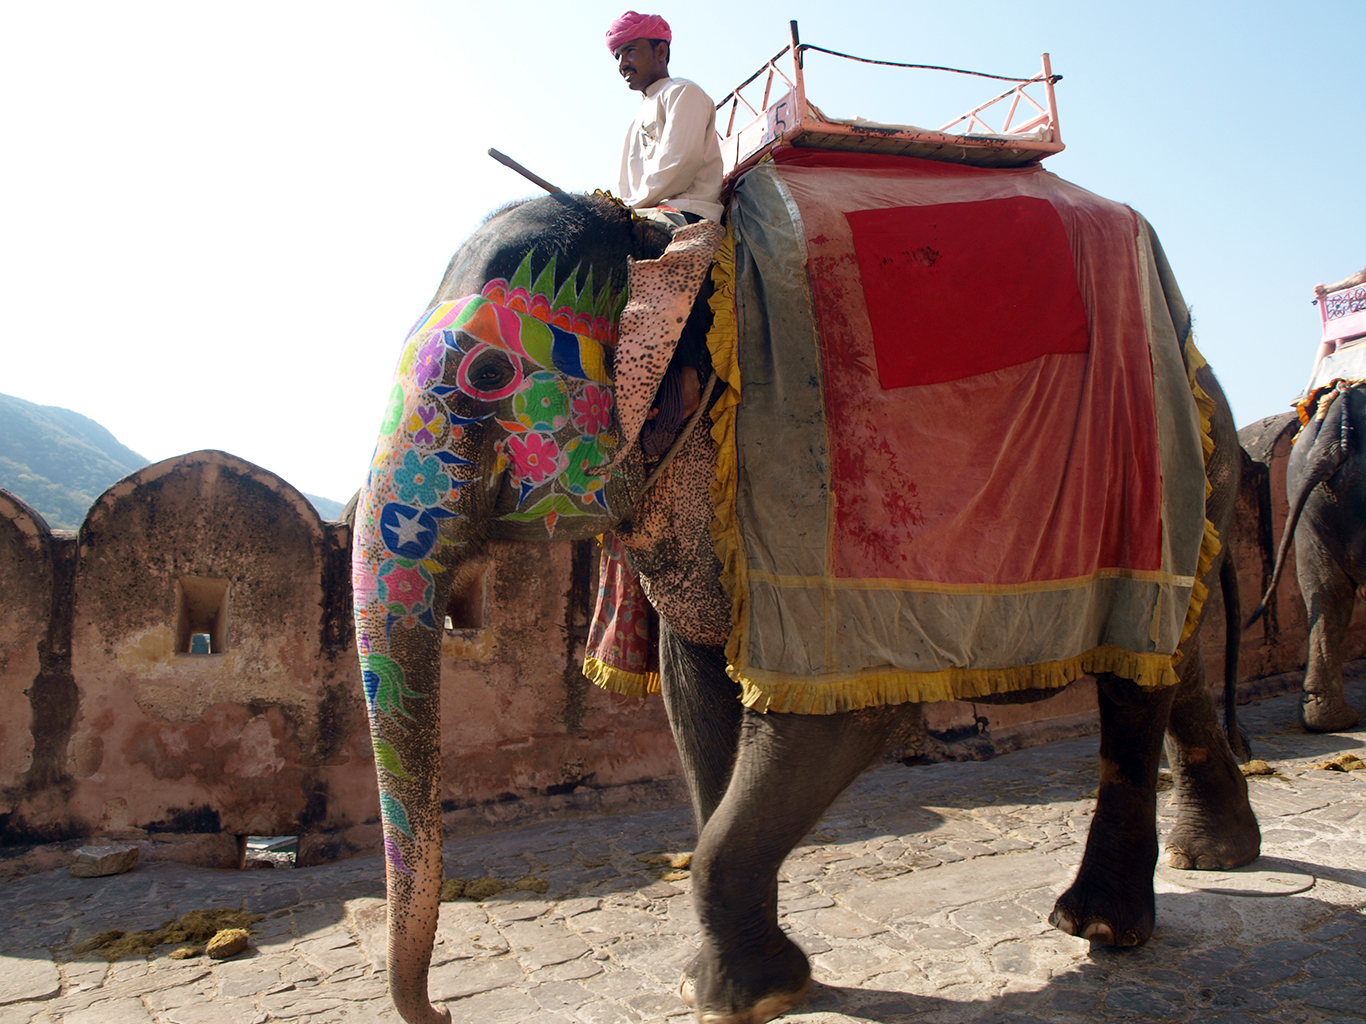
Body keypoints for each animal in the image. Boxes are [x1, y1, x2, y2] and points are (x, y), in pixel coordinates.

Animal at [349, 187, 1256, 1024]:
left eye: (486, 378)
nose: (444, 1012)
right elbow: (698, 701)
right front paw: (732, 982)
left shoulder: (811, 491)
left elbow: (840, 716)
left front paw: (746, 995)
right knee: (1168, 663)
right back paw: (1213, 857)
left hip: (1161, 481)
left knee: (1136, 688)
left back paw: (1098, 927)